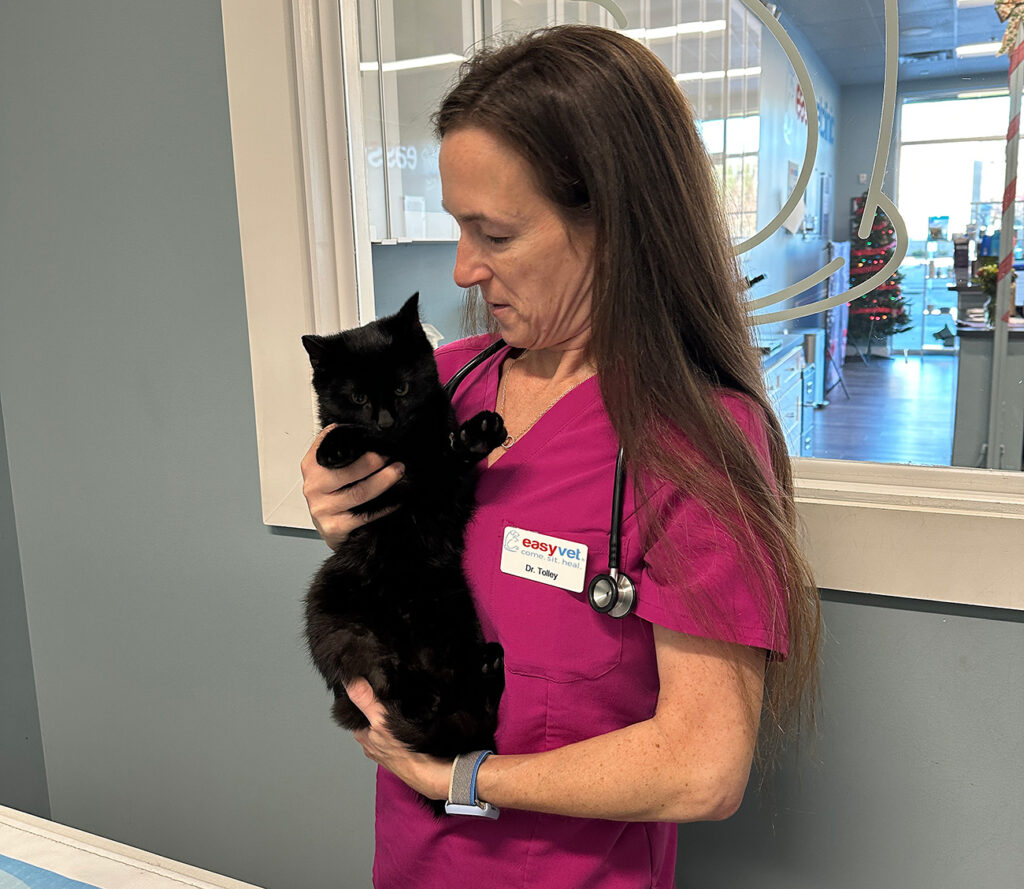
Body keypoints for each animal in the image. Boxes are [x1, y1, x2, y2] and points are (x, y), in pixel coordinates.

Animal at [299, 292, 507, 811]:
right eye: (357, 398)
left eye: (400, 387)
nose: (386, 421)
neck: (404, 447)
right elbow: (344, 438)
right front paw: (336, 445)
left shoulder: (448, 488)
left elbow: (450, 458)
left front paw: (477, 434)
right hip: (339, 617)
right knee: (382, 675)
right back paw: (418, 696)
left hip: (455, 617)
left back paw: (484, 670)